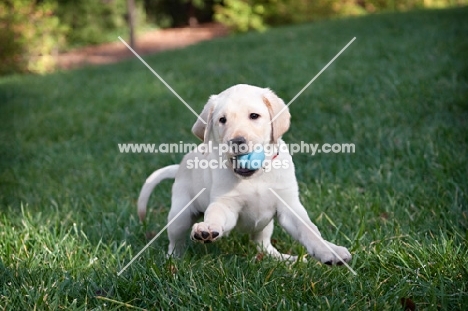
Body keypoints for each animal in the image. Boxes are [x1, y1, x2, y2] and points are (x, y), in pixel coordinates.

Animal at [138, 84, 352, 264]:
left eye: (254, 116)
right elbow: (216, 214)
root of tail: (181, 165)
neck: (254, 177)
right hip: (179, 214)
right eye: (222, 120)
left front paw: (330, 251)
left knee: (263, 245)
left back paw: (284, 259)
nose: (237, 141)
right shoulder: (226, 204)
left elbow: (310, 230)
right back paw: (173, 261)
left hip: (265, 226)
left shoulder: (289, 204)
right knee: (175, 241)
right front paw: (207, 228)